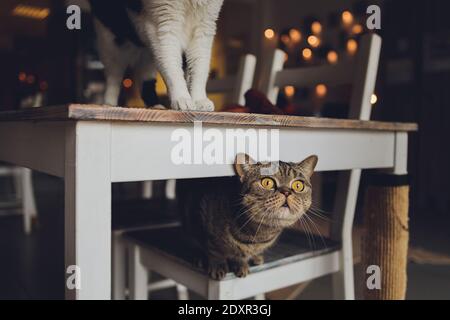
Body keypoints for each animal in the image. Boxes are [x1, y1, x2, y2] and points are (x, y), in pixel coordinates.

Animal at [90, 0, 224, 110]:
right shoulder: (163, 26)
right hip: (111, 43)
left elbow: (200, 67)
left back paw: (156, 105)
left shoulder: (204, 27)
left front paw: (199, 100)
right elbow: (173, 69)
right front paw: (182, 98)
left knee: (146, 81)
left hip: (148, 55)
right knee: (113, 77)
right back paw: (109, 104)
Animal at [178, 154, 318, 278]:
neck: (258, 234)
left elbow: (240, 257)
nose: (286, 192)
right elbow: (214, 249)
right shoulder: (207, 218)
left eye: (298, 185)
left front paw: (241, 264)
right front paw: (218, 265)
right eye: (267, 182)